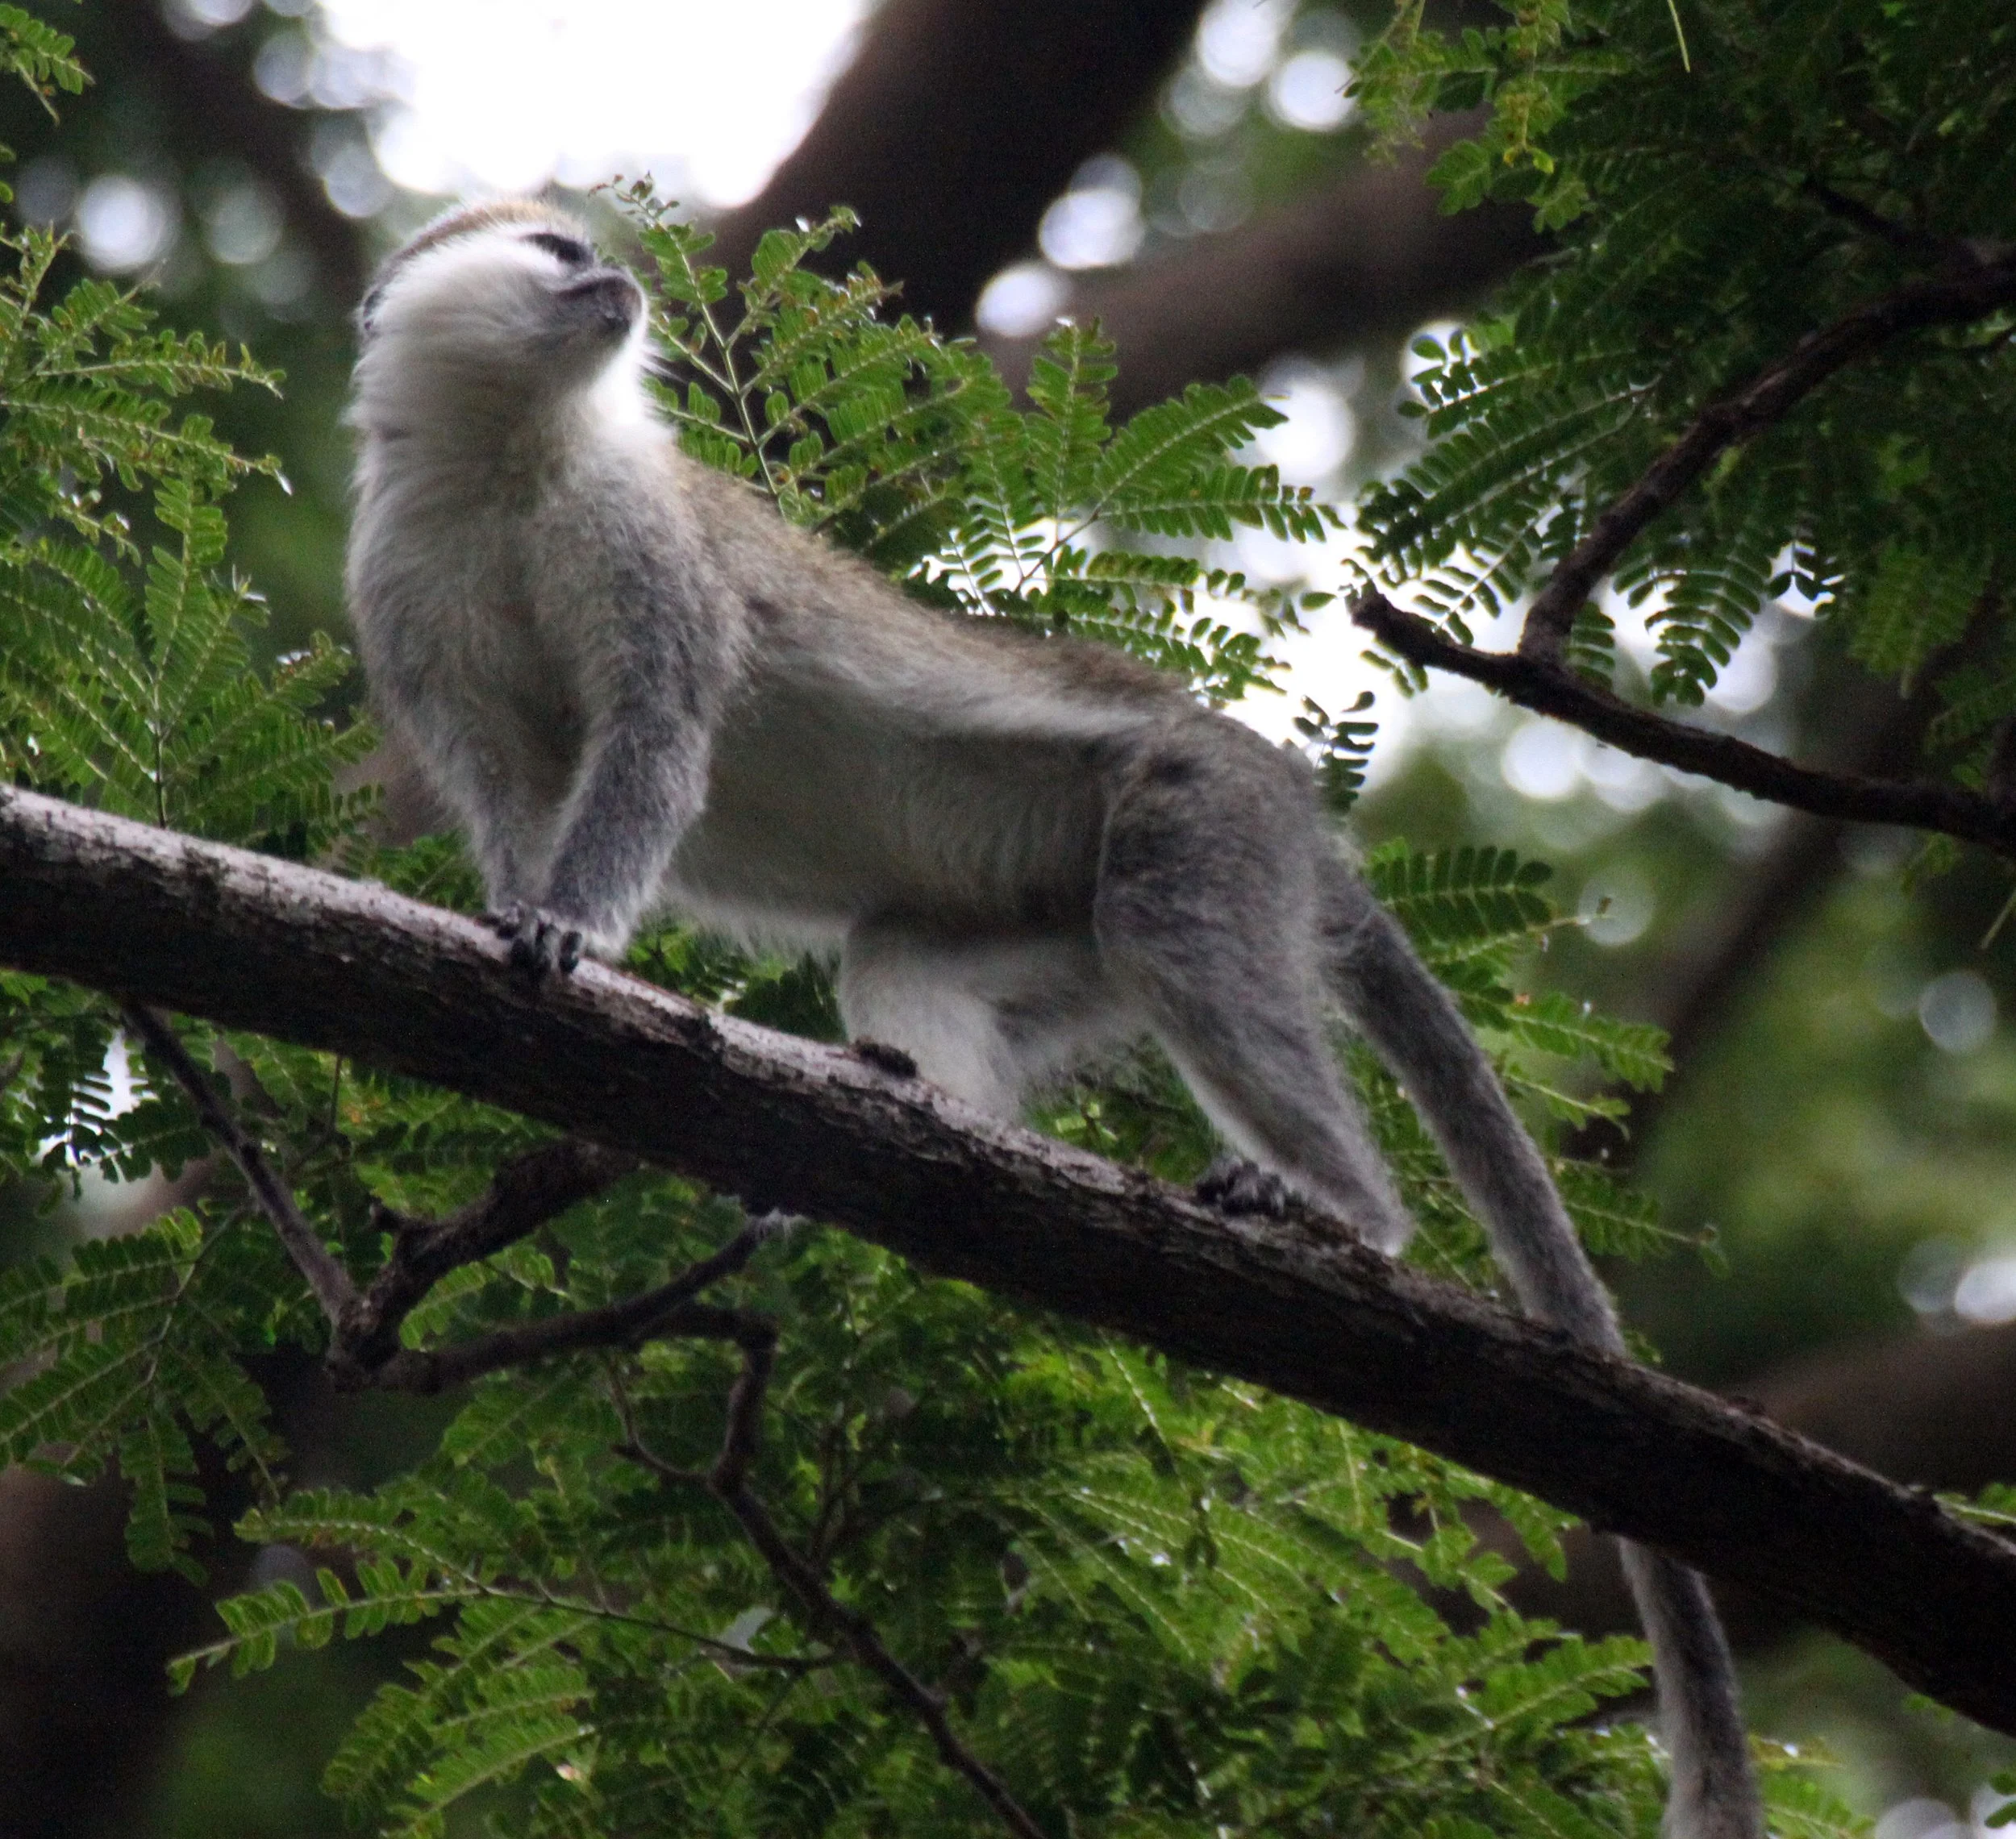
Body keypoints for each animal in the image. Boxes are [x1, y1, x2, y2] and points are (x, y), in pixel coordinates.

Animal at [344, 200, 1762, 1839]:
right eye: (556, 249)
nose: (622, 285)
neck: (508, 454)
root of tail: (1286, 804)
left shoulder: (643, 544)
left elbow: (654, 737)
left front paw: (570, 929)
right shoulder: (404, 580)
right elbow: (509, 792)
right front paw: (522, 919)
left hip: (1199, 811)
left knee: (1178, 936)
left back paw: (1342, 1206)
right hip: (1043, 919)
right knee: (910, 953)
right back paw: (899, 1126)